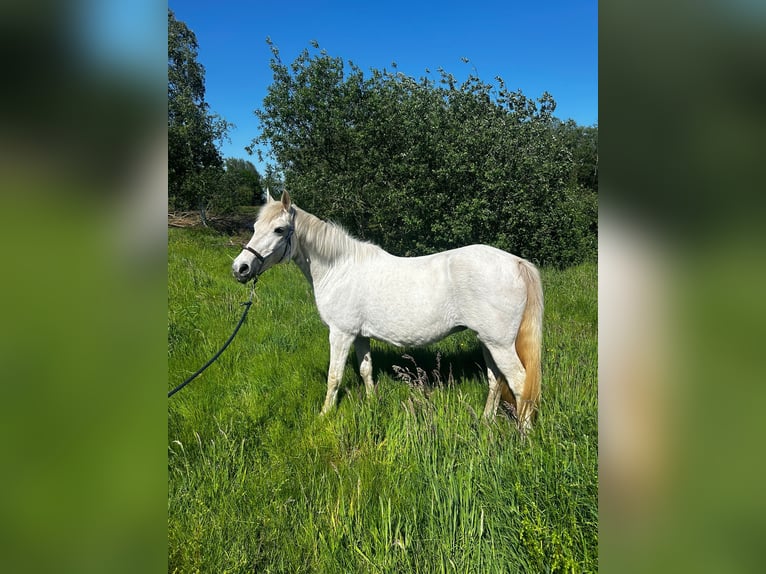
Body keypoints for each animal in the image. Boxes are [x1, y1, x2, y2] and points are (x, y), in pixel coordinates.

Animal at [231, 191, 544, 430]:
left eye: (279, 229)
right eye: (255, 227)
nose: (240, 268)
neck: (340, 268)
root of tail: (516, 262)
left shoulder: (341, 334)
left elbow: (334, 376)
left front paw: (324, 415)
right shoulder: (359, 335)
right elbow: (365, 370)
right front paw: (372, 405)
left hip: (499, 344)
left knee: (519, 382)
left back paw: (524, 435)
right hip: (487, 341)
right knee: (496, 379)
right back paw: (486, 420)